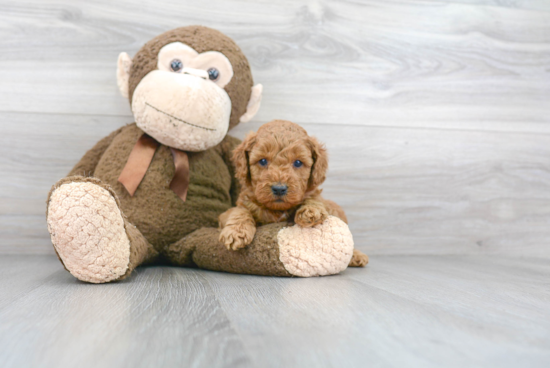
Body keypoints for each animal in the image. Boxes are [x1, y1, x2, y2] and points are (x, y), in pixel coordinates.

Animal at [218, 121, 368, 268]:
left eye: (297, 162)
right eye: (262, 161)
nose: (279, 189)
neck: (278, 210)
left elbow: (314, 199)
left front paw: (310, 211)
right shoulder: (232, 210)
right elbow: (239, 211)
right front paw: (236, 231)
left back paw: (356, 256)